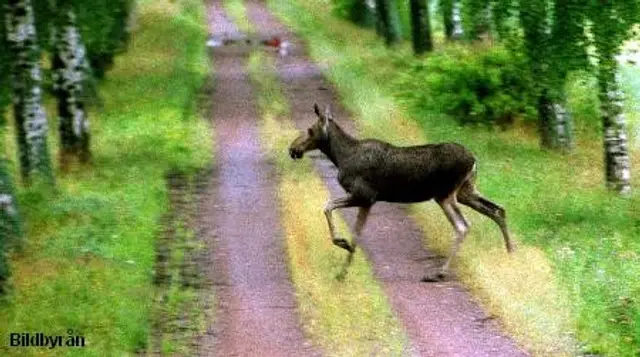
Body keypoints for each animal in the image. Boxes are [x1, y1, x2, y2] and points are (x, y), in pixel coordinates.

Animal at [290, 103, 516, 280]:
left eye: (310, 129)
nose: (293, 149)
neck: (340, 156)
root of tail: (474, 160)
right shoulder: (368, 201)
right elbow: (356, 233)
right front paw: (344, 267)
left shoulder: (364, 195)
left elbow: (328, 207)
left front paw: (342, 244)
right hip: (465, 191)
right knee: (498, 209)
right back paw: (510, 252)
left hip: (445, 195)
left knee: (463, 226)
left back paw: (440, 272)